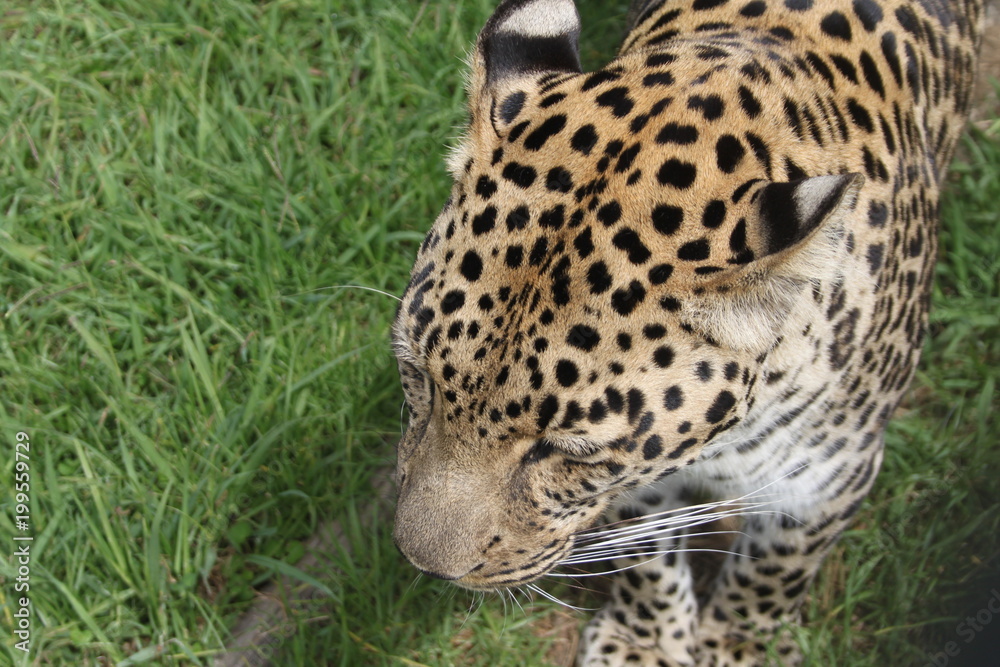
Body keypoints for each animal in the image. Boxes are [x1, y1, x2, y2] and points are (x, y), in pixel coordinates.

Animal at [390, 0, 984, 664]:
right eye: (418, 376)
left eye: (571, 452)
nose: (423, 565)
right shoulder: (637, 486)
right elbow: (646, 553)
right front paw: (645, 640)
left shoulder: (831, 473)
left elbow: (778, 564)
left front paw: (745, 645)